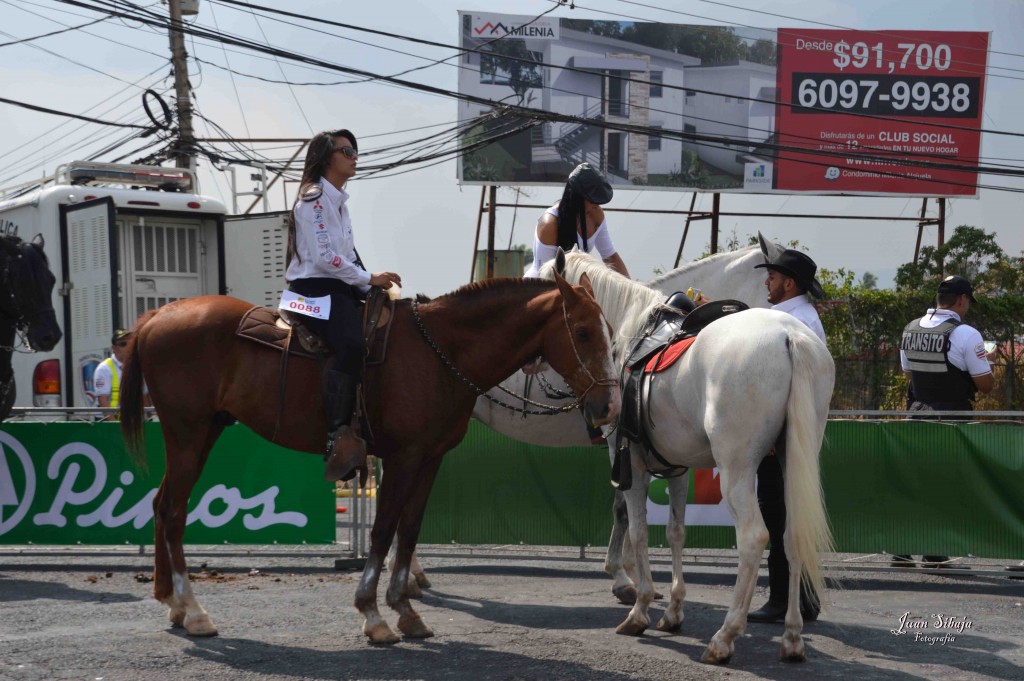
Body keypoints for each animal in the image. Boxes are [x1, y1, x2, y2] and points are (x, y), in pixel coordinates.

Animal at [117, 268, 614, 639]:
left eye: (608, 331)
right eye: (583, 332)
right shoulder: (402, 457)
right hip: (187, 432)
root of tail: (157, 316)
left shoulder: (430, 458)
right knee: (174, 511)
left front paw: (405, 610)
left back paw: (173, 603)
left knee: (162, 504)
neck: (441, 352)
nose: (608, 406)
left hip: (202, 433)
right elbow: (381, 531)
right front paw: (373, 615)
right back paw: (195, 610)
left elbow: (409, 530)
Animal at [544, 250, 831, 663]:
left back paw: (725, 636)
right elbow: (675, 532)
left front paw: (640, 609)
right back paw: (792, 637)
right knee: (791, 537)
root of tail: (789, 337)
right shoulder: (676, 467)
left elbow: (638, 531)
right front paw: (674, 611)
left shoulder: (632, 464)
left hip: (737, 471)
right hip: (792, 465)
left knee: (754, 537)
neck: (632, 331)